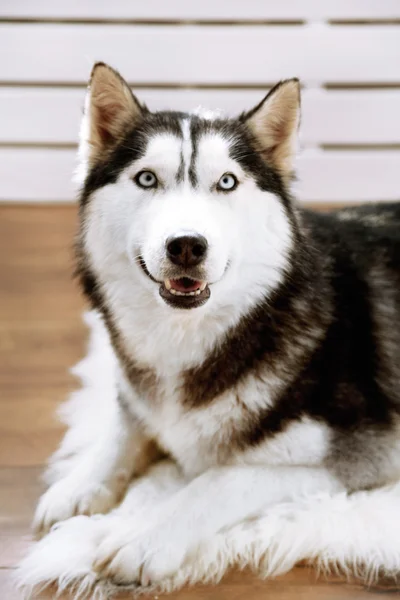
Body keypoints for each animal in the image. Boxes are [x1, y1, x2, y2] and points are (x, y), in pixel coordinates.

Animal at [33, 64, 400, 584]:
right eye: (146, 178)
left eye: (226, 182)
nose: (187, 245)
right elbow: (127, 422)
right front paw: (80, 482)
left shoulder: (362, 457)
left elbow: (217, 480)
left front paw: (145, 534)